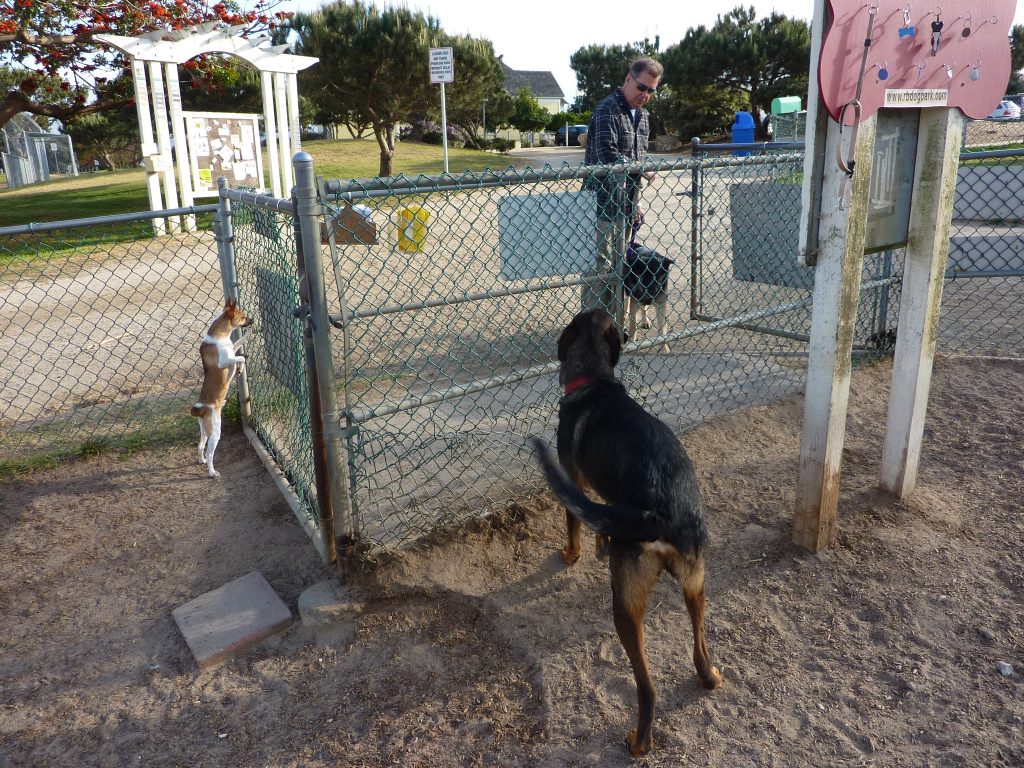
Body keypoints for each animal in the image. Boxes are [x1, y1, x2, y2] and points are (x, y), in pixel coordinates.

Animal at [192, 296, 254, 479]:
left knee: (200, 446)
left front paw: (248, 335)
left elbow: (238, 345)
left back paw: (202, 460)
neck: (220, 336)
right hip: (215, 431)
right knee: (210, 452)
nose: (252, 320)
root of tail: (201, 409)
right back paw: (212, 472)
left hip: (205, 430)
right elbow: (241, 357)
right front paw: (239, 368)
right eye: (242, 317)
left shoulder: (231, 350)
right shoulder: (225, 361)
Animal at [532, 307, 724, 757]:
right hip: (696, 584)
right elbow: (601, 519)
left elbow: (574, 521)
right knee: (699, 648)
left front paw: (572, 553)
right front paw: (600, 543)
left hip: (625, 605)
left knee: (647, 687)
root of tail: (662, 511)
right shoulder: (605, 497)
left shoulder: (572, 477)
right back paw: (709, 677)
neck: (594, 380)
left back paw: (639, 742)